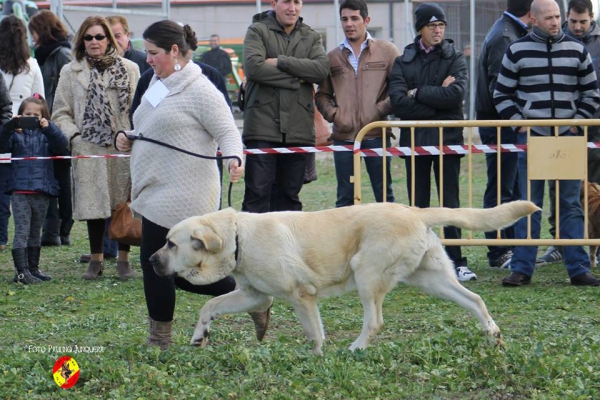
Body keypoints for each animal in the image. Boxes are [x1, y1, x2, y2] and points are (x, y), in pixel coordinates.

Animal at [151, 202, 540, 354]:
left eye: (171, 243)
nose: (152, 260)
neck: (237, 238)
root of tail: (414, 210)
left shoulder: (301, 295)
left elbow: (315, 333)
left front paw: (317, 356)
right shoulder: (255, 296)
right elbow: (210, 306)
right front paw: (199, 336)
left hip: (366, 273)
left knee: (375, 321)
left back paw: (355, 349)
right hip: (431, 280)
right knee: (474, 300)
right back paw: (493, 335)